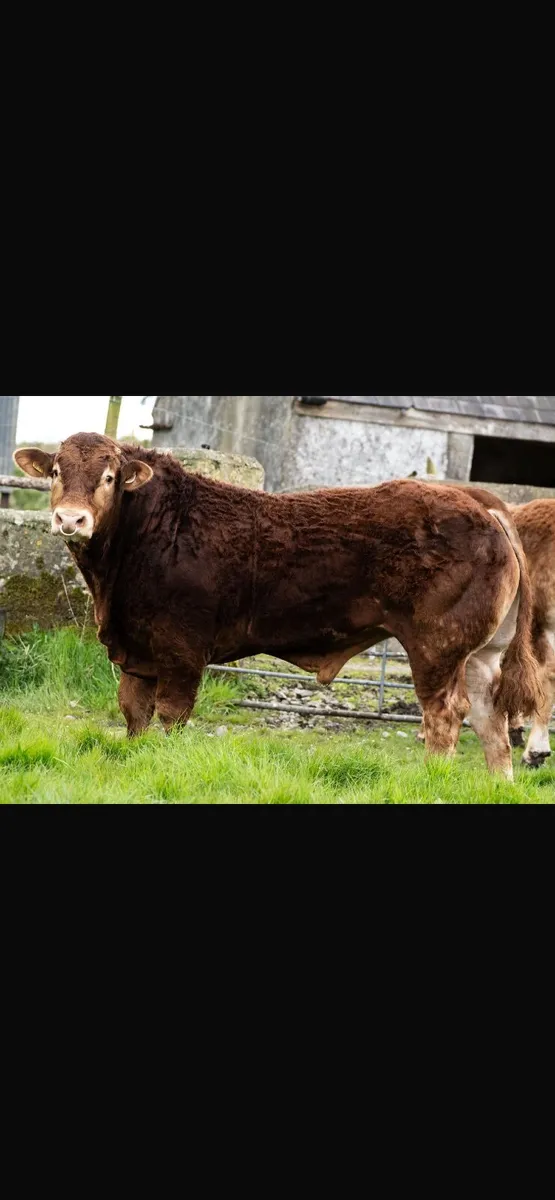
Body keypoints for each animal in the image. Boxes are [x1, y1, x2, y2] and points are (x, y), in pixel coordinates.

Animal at [14, 433, 543, 780]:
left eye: (108, 477)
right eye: (57, 472)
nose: (70, 519)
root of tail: (480, 502)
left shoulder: (181, 649)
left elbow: (171, 714)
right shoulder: (137, 652)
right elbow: (133, 714)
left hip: (437, 646)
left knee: (445, 714)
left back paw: (431, 780)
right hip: (481, 654)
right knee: (490, 718)